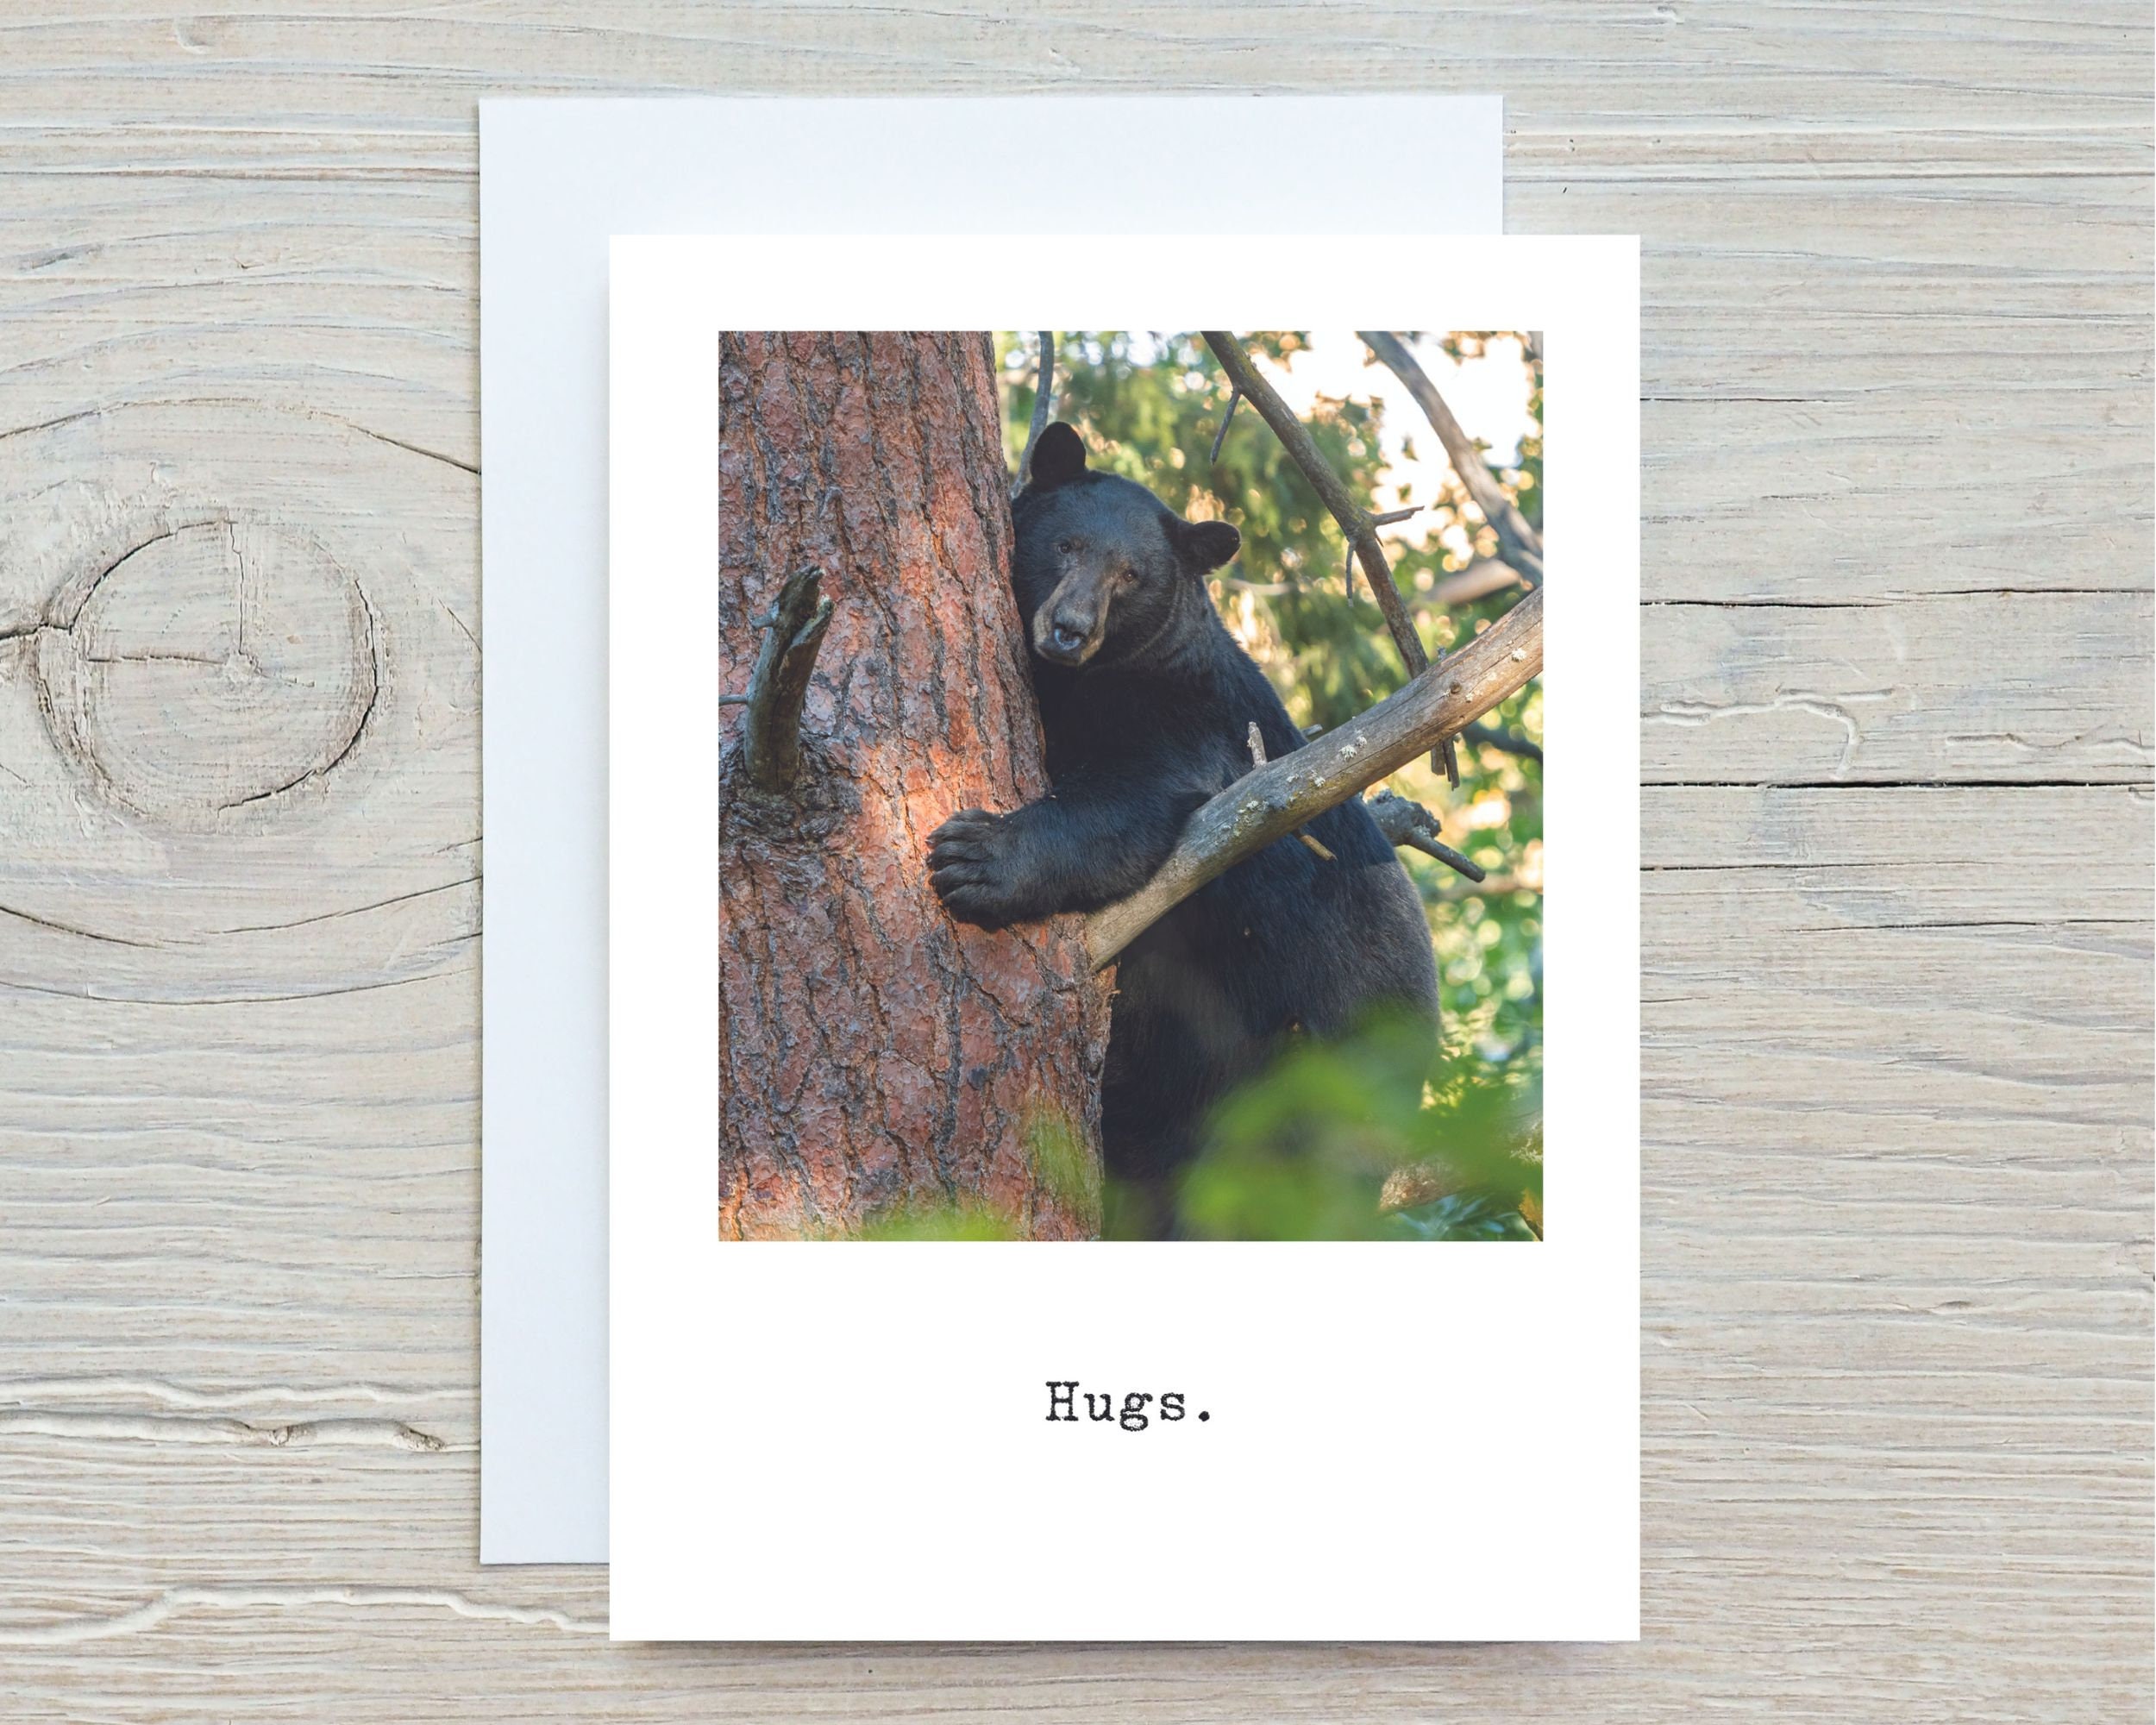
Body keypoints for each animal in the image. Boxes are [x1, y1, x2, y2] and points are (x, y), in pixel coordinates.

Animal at [927, 421, 1439, 1238]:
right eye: (1067, 544)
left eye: (1131, 575)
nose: (1068, 631)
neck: (1083, 680)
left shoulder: (1187, 724)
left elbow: (1128, 804)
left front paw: (976, 856)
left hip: (1315, 1062)